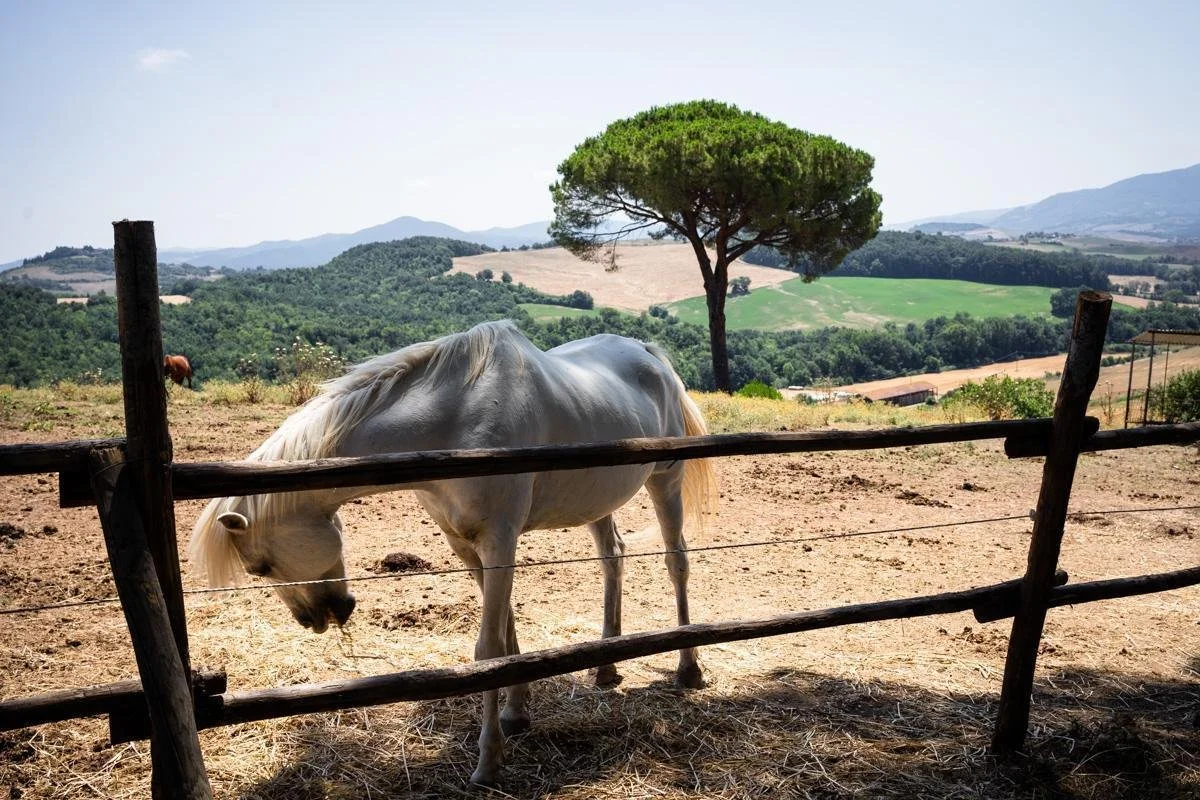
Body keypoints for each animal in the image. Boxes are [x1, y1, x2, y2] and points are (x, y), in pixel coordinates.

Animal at [189, 320, 717, 786]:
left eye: (260, 566)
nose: (318, 620)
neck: (455, 420)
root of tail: (648, 353)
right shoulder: (465, 546)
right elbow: (505, 634)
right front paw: (515, 713)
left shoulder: (500, 540)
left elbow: (487, 648)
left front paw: (488, 762)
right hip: (596, 500)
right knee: (613, 558)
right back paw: (606, 667)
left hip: (665, 481)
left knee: (677, 563)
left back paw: (688, 668)